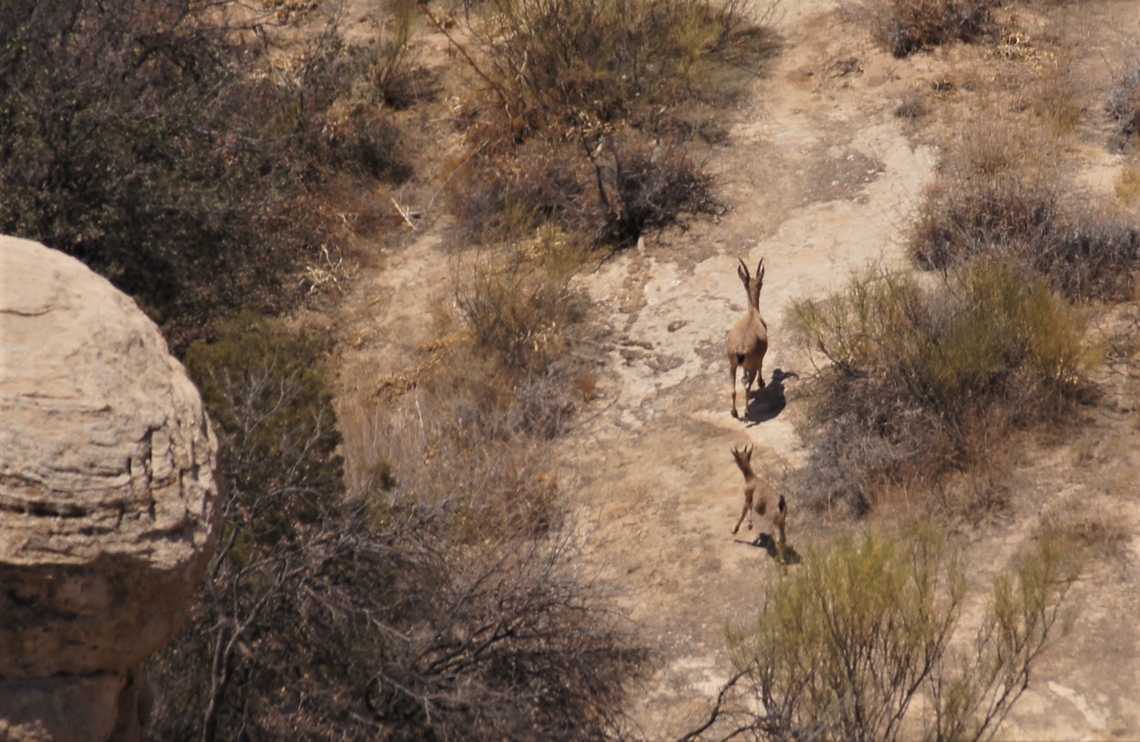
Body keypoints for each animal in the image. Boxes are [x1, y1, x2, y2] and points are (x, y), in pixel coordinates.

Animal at [726, 257, 768, 420]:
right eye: (761, 283)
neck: (753, 313)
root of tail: (740, 349)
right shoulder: (758, 359)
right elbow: (762, 364)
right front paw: (761, 382)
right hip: (752, 366)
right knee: (747, 387)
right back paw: (746, 412)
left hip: (731, 364)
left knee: (733, 389)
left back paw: (734, 412)